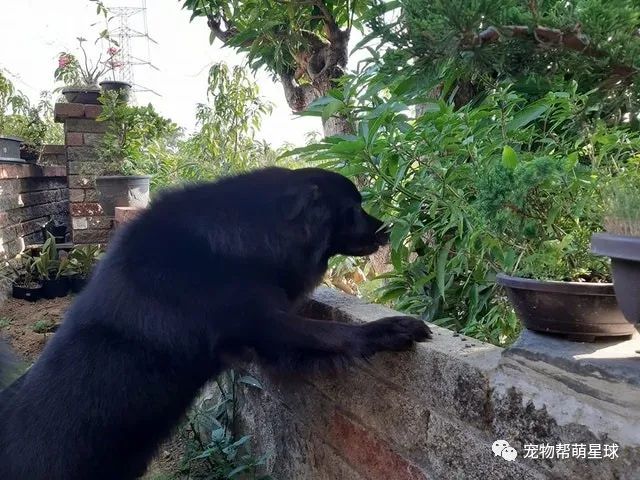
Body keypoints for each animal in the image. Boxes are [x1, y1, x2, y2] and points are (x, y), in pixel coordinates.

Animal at [0, 167, 432, 478]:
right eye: (354, 208)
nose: (389, 229)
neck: (243, 235)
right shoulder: (263, 327)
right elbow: (334, 334)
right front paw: (391, 330)